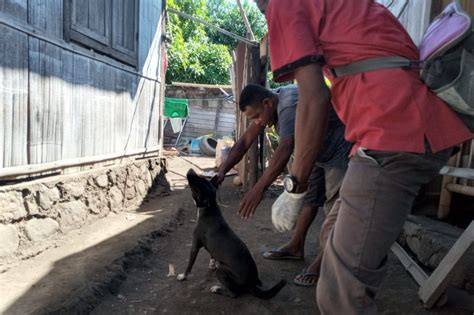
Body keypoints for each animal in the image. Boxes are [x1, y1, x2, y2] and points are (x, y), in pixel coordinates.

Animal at [178, 169, 286, 300]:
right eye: (202, 179)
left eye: (196, 185)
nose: (191, 171)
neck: (210, 207)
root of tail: (251, 283)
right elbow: (212, 256)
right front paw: (212, 264)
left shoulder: (194, 245)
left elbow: (189, 265)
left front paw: (183, 276)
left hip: (222, 272)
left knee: (234, 294)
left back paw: (217, 289)